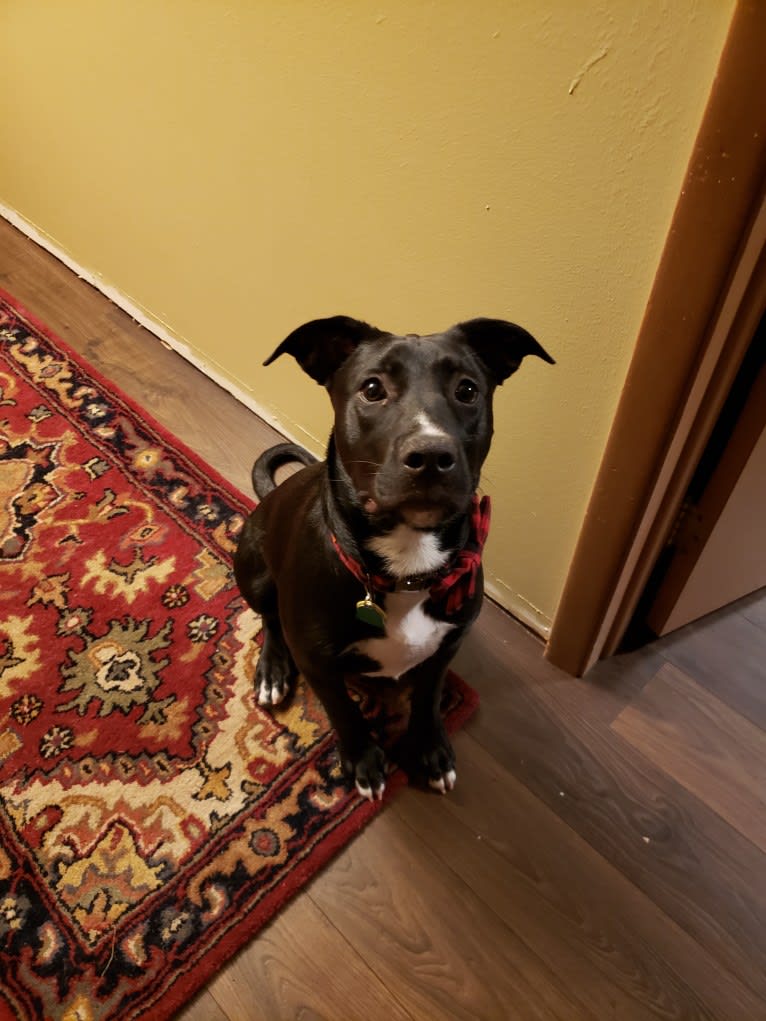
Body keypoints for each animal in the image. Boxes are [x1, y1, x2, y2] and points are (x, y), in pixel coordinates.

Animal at [232, 314, 551, 800]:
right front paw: (364, 760)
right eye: (372, 388)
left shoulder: (447, 645)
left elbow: (428, 698)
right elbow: (344, 712)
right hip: (253, 570)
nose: (432, 455)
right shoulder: (317, 661)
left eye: (467, 390)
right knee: (270, 617)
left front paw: (429, 749)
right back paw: (272, 671)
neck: (408, 566)